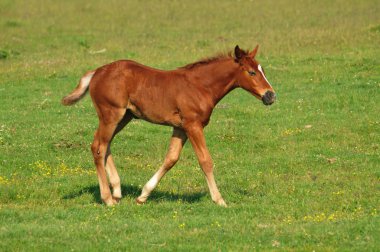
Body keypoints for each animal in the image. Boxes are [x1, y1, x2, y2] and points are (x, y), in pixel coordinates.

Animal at [62, 45, 276, 207]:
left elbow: (171, 158)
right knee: (99, 147)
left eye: (263, 70)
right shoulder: (193, 125)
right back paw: (107, 198)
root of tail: (97, 72)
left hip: (123, 117)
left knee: (104, 146)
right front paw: (219, 200)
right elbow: (205, 161)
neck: (201, 86)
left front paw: (143, 195)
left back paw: (116, 191)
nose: (271, 95)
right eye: (251, 72)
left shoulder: (180, 128)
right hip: (111, 115)